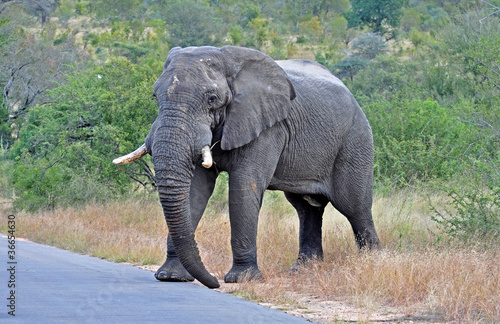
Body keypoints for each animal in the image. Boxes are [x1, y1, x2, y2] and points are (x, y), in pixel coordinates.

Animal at [113, 45, 378, 288]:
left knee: (354, 206)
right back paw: (304, 270)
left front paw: (243, 279)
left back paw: (372, 262)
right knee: (306, 207)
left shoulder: (268, 126)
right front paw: (170, 277)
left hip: (355, 140)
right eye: (155, 96)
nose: (214, 282)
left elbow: (243, 185)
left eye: (212, 99)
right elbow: (195, 190)